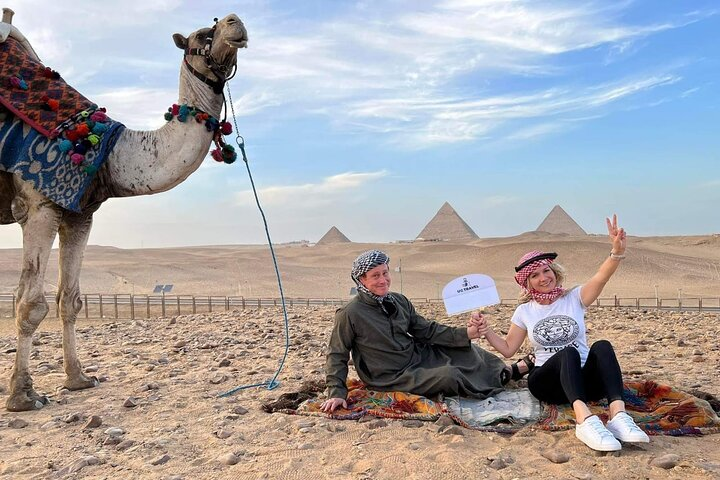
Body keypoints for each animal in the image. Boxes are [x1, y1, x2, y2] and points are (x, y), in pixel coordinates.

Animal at [0, 9, 248, 411]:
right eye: (201, 33)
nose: (234, 21)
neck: (109, 152)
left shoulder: (79, 213)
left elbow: (70, 300)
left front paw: (78, 379)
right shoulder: (39, 206)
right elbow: (30, 303)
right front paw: (23, 395)